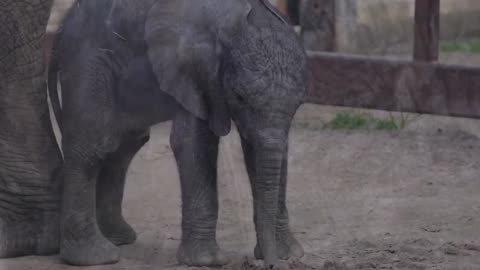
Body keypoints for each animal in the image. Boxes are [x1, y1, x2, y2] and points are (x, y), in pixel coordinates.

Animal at [48, 0, 308, 268]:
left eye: (299, 102)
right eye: (239, 97)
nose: (271, 264)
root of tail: (60, 30)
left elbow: (265, 150)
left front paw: (289, 254)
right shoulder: (193, 71)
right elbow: (194, 142)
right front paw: (207, 261)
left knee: (124, 145)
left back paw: (118, 238)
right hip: (88, 62)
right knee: (93, 145)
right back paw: (96, 257)